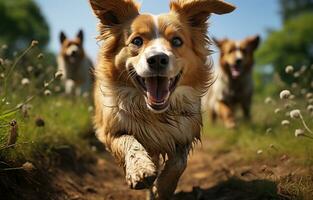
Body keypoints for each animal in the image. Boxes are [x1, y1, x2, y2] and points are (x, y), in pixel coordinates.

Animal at [88, 0, 234, 199]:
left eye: (177, 41)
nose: (157, 59)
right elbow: (129, 141)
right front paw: (140, 170)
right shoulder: (111, 129)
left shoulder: (185, 130)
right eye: (137, 41)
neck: (155, 113)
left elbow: (179, 162)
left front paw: (163, 187)